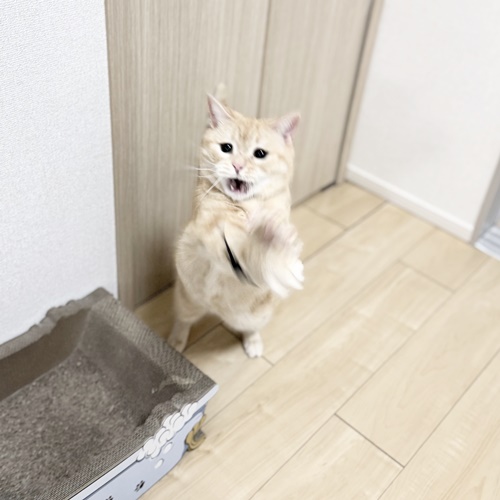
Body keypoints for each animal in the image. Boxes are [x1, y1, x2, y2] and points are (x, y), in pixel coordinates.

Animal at [167, 87, 303, 358]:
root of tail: (215, 310)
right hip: (186, 300)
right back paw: (176, 342)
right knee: (183, 320)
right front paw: (265, 237)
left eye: (259, 153)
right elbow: (240, 245)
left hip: (256, 315)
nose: (237, 165)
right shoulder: (211, 229)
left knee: (250, 327)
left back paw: (253, 342)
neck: (246, 207)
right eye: (226, 147)